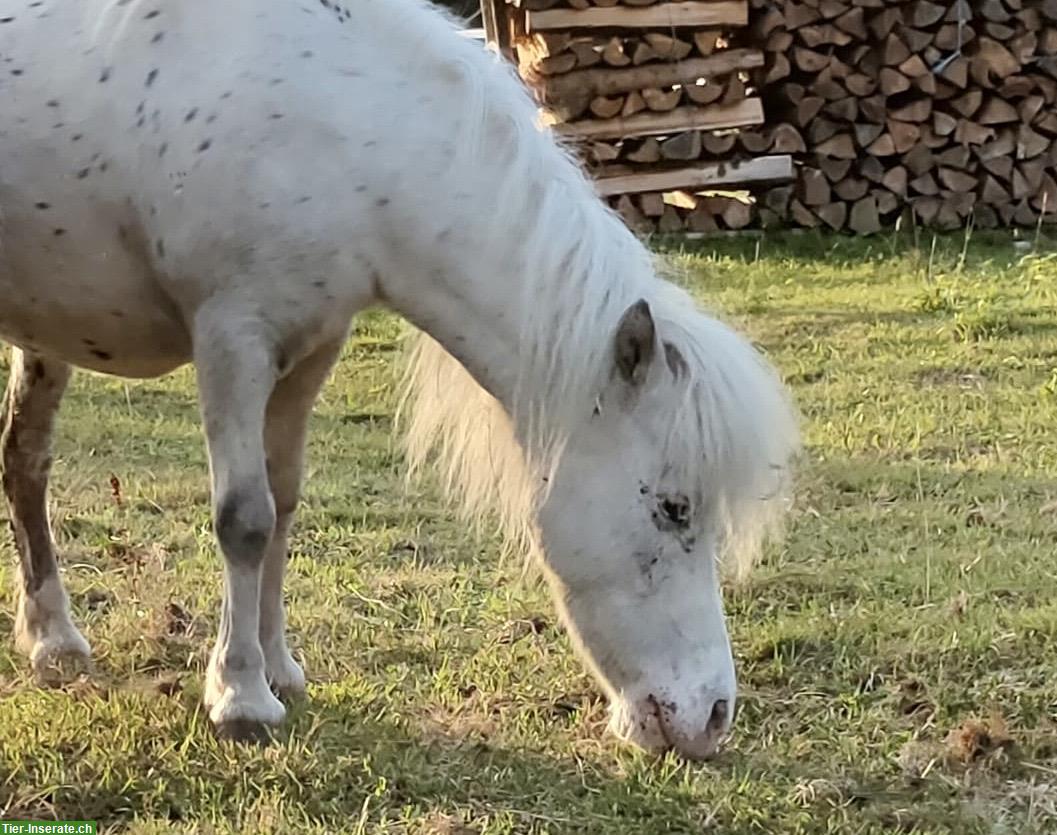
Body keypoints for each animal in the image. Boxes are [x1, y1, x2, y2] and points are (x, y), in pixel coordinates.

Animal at [0, 0, 794, 756]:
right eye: (674, 508)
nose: (713, 716)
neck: (343, 126)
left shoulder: (310, 348)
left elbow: (282, 502)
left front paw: (279, 668)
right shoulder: (234, 337)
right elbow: (244, 518)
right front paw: (241, 695)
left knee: (25, 462)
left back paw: (53, 640)